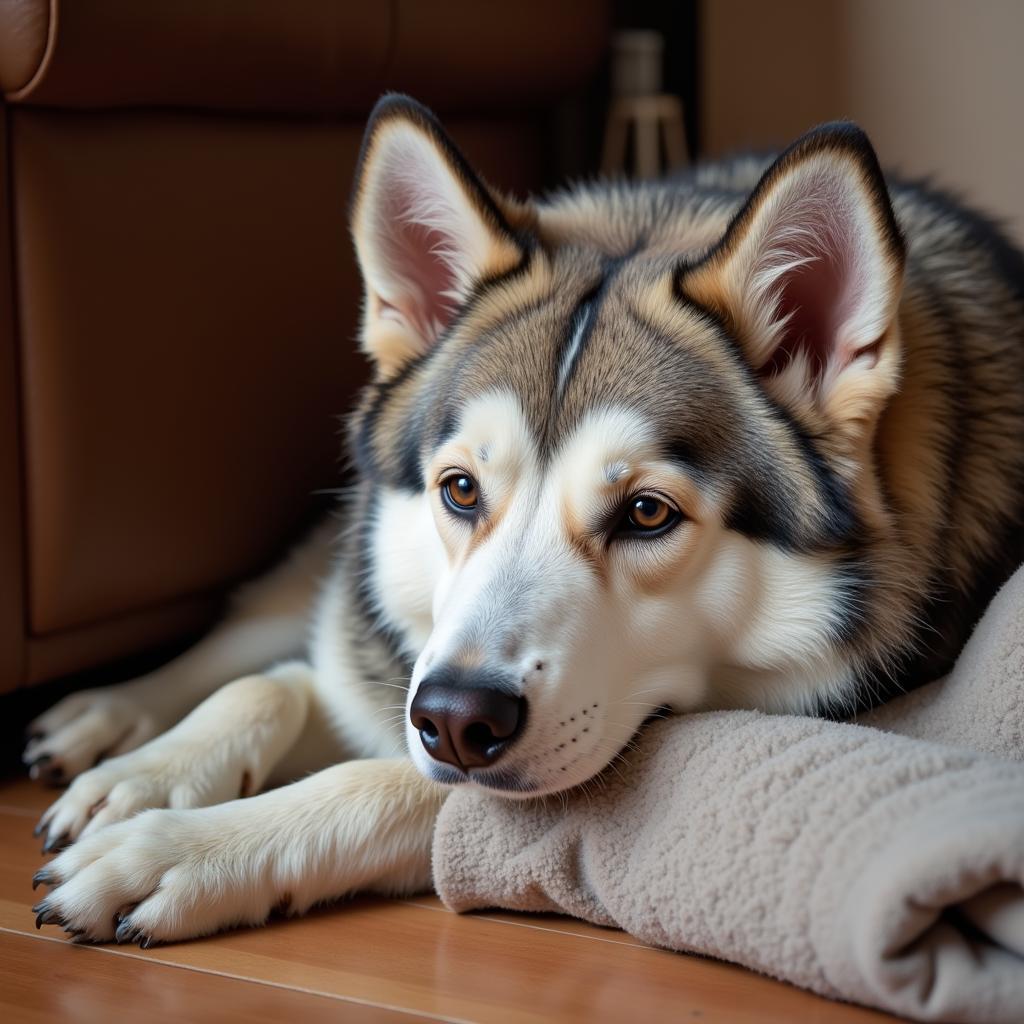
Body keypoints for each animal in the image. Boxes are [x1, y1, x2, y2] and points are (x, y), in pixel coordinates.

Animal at [24, 96, 1024, 942]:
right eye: (461, 490)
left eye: (647, 512)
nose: (456, 719)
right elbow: (273, 686)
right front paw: (143, 781)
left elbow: (372, 773)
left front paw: (176, 849)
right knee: (252, 628)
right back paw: (105, 721)